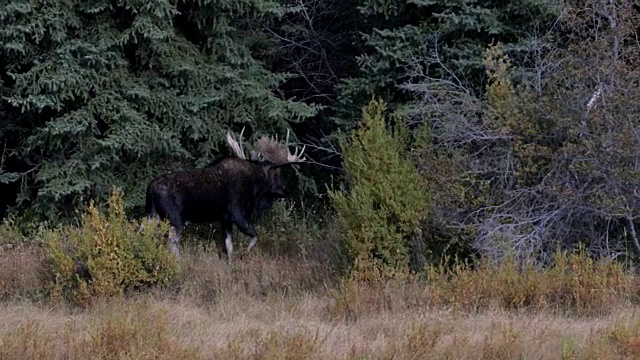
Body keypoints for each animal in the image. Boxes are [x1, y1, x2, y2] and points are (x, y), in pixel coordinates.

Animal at [146, 129, 306, 258]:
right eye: (276, 174)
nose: (284, 189)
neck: (255, 186)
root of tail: (151, 188)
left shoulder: (225, 219)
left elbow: (229, 248)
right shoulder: (238, 214)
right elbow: (254, 236)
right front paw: (244, 254)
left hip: (151, 215)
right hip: (175, 219)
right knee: (172, 245)